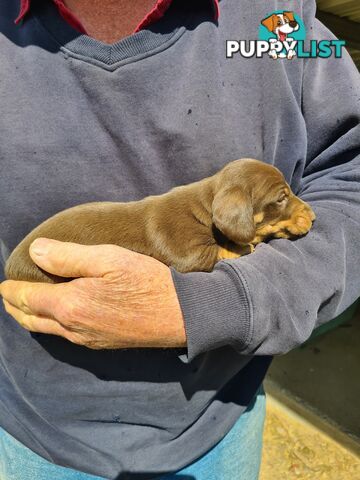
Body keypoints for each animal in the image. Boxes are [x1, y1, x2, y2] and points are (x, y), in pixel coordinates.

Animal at [4, 159, 316, 284]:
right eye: (281, 198)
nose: (313, 216)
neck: (205, 210)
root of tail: (9, 267)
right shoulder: (186, 253)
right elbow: (220, 251)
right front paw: (242, 246)